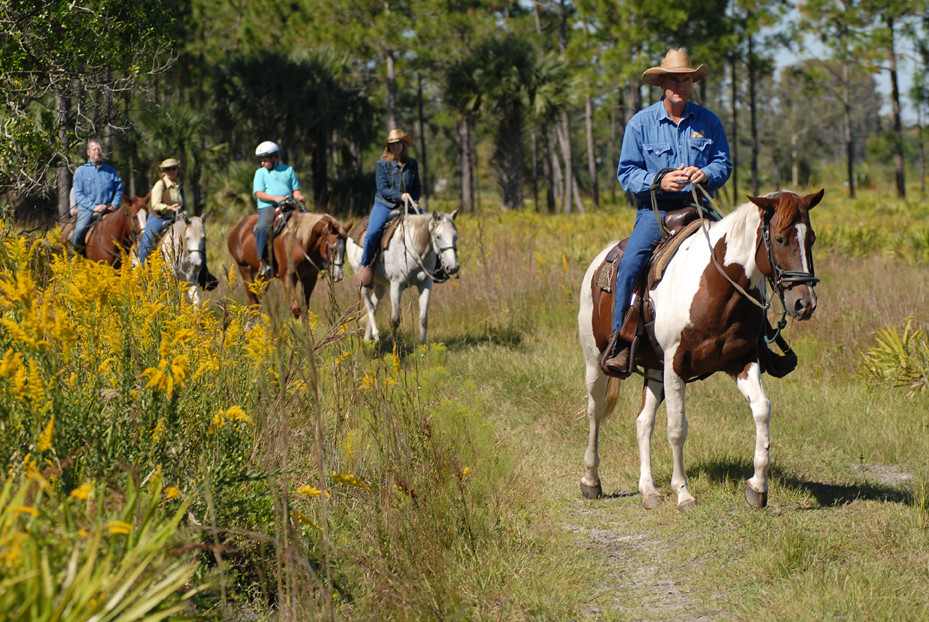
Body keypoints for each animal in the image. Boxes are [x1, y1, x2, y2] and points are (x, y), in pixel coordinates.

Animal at [576, 190, 824, 512]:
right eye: (780, 239)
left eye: (812, 238)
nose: (805, 303)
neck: (716, 286)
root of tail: (598, 262)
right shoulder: (675, 365)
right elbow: (677, 428)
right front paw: (683, 493)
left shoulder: (742, 360)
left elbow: (761, 409)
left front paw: (757, 487)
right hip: (595, 362)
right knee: (595, 412)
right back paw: (591, 481)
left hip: (654, 370)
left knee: (643, 422)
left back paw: (649, 491)